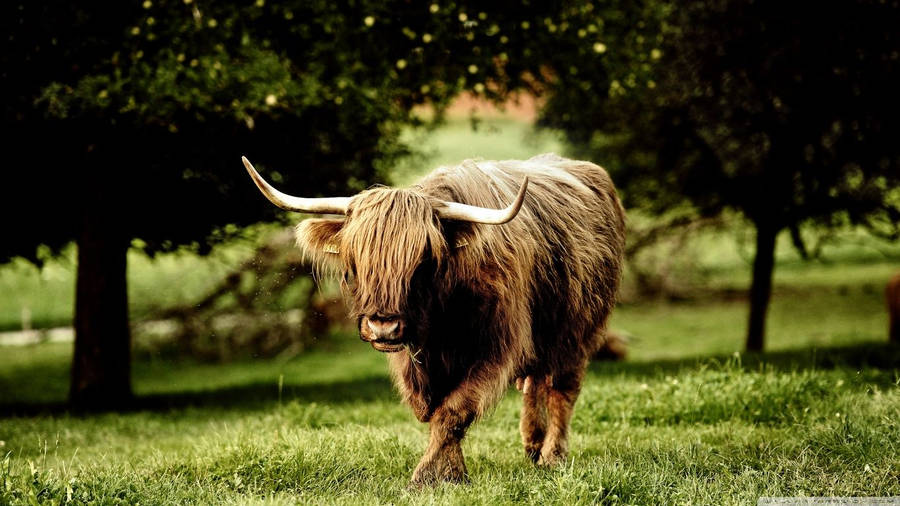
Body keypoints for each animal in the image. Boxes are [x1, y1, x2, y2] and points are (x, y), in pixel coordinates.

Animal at [243, 153, 626, 486]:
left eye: (423, 261)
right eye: (355, 261)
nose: (383, 325)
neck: (442, 317)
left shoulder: (497, 347)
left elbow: (454, 410)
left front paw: (428, 476)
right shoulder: (413, 361)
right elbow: (431, 410)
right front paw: (452, 472)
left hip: (578, 330)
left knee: (562, 388)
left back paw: (552, 456)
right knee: (535, 382)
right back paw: (532, 444)